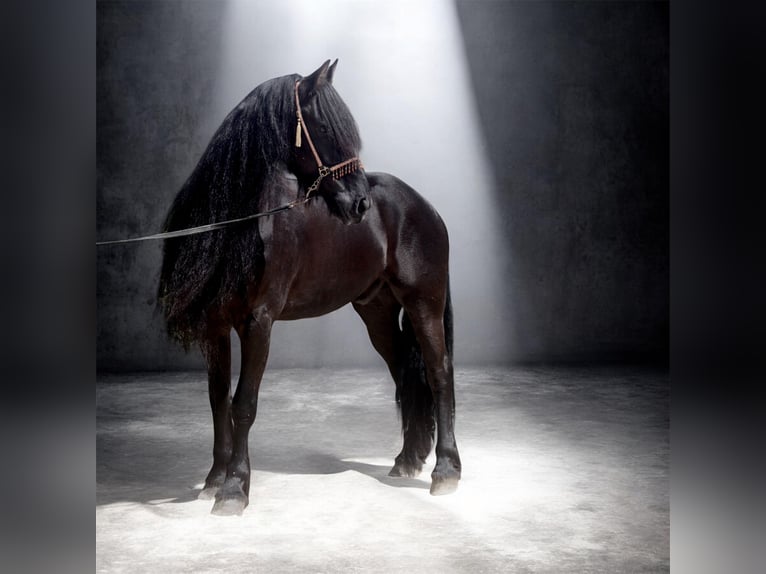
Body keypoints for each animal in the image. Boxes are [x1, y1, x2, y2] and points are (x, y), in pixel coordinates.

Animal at [159, 60, 461, 515]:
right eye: (322, 126)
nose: (360, 204)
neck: (242, 226)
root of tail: (425, 206)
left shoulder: (258, 322)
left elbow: (244, 404)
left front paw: (234, 490)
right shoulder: (216, 326)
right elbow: (218, 401)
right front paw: (213, 481)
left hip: (425, 302)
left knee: (439, 370)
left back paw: (445, 471)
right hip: (377, 312)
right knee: (406, 375)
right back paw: (407, 461)